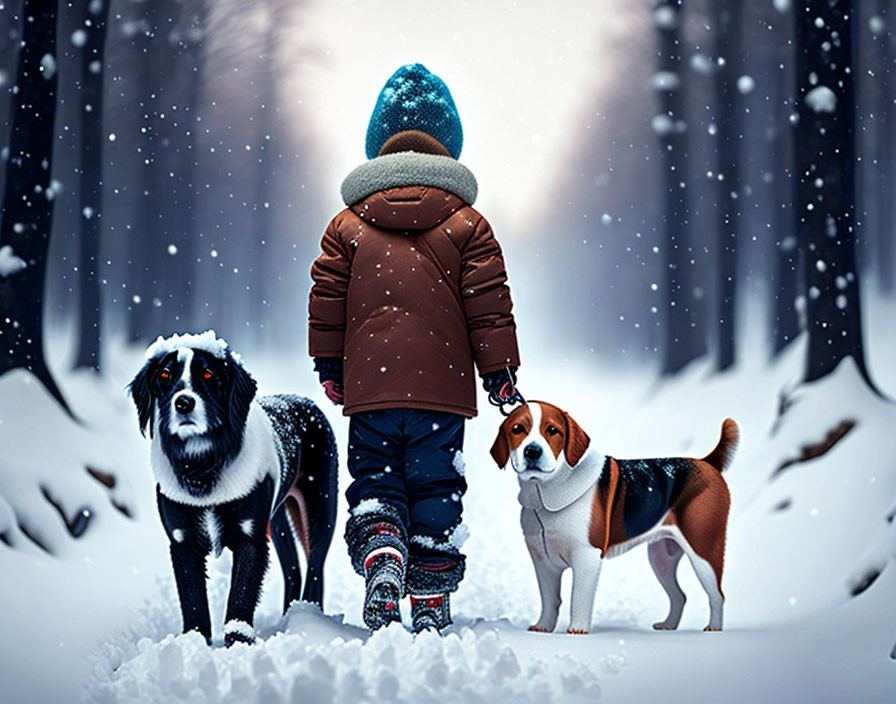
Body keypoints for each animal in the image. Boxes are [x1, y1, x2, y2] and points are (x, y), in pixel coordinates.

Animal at [133, 332, 340, 648]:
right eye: (165, 376)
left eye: (208, 374)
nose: (183, 403)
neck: (202, 465)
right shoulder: (182, 540)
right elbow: (193, 599)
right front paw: (195, 641)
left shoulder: (250, 536)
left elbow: (241, 595)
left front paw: (238, 642)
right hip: (278, 521)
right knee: (293, 569)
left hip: (321, 507)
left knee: (315, 567)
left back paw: (309, 617)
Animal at [490, 398, 736, 636]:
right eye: (517, 429)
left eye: (552, 430)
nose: (532, 451)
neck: (544, 492)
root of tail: (705, 462)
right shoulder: (544, 560)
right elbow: (550, 599)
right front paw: (543, 628)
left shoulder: (587, 556)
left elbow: (578, 598)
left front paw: (577, 630)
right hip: (661, 557)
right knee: (679, 596)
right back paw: (668, 626)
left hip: (703, 550)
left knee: (717, 594)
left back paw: (714, 629)